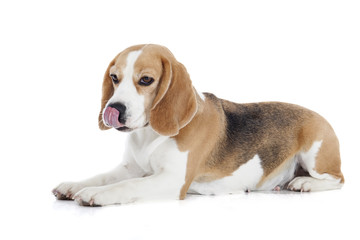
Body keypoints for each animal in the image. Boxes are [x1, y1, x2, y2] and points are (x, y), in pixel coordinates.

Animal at [52, 44, 344, 205]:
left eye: (146, 80)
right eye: (114, 77)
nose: (113, 109)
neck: (149, 134)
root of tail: (321, 116)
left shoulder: (173, 180)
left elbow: (126, 186)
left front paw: (96, 193)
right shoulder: (131, 168)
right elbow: (103, 176)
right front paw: (75, 185)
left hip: (315, 156)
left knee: (338, 180)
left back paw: (304, 183)